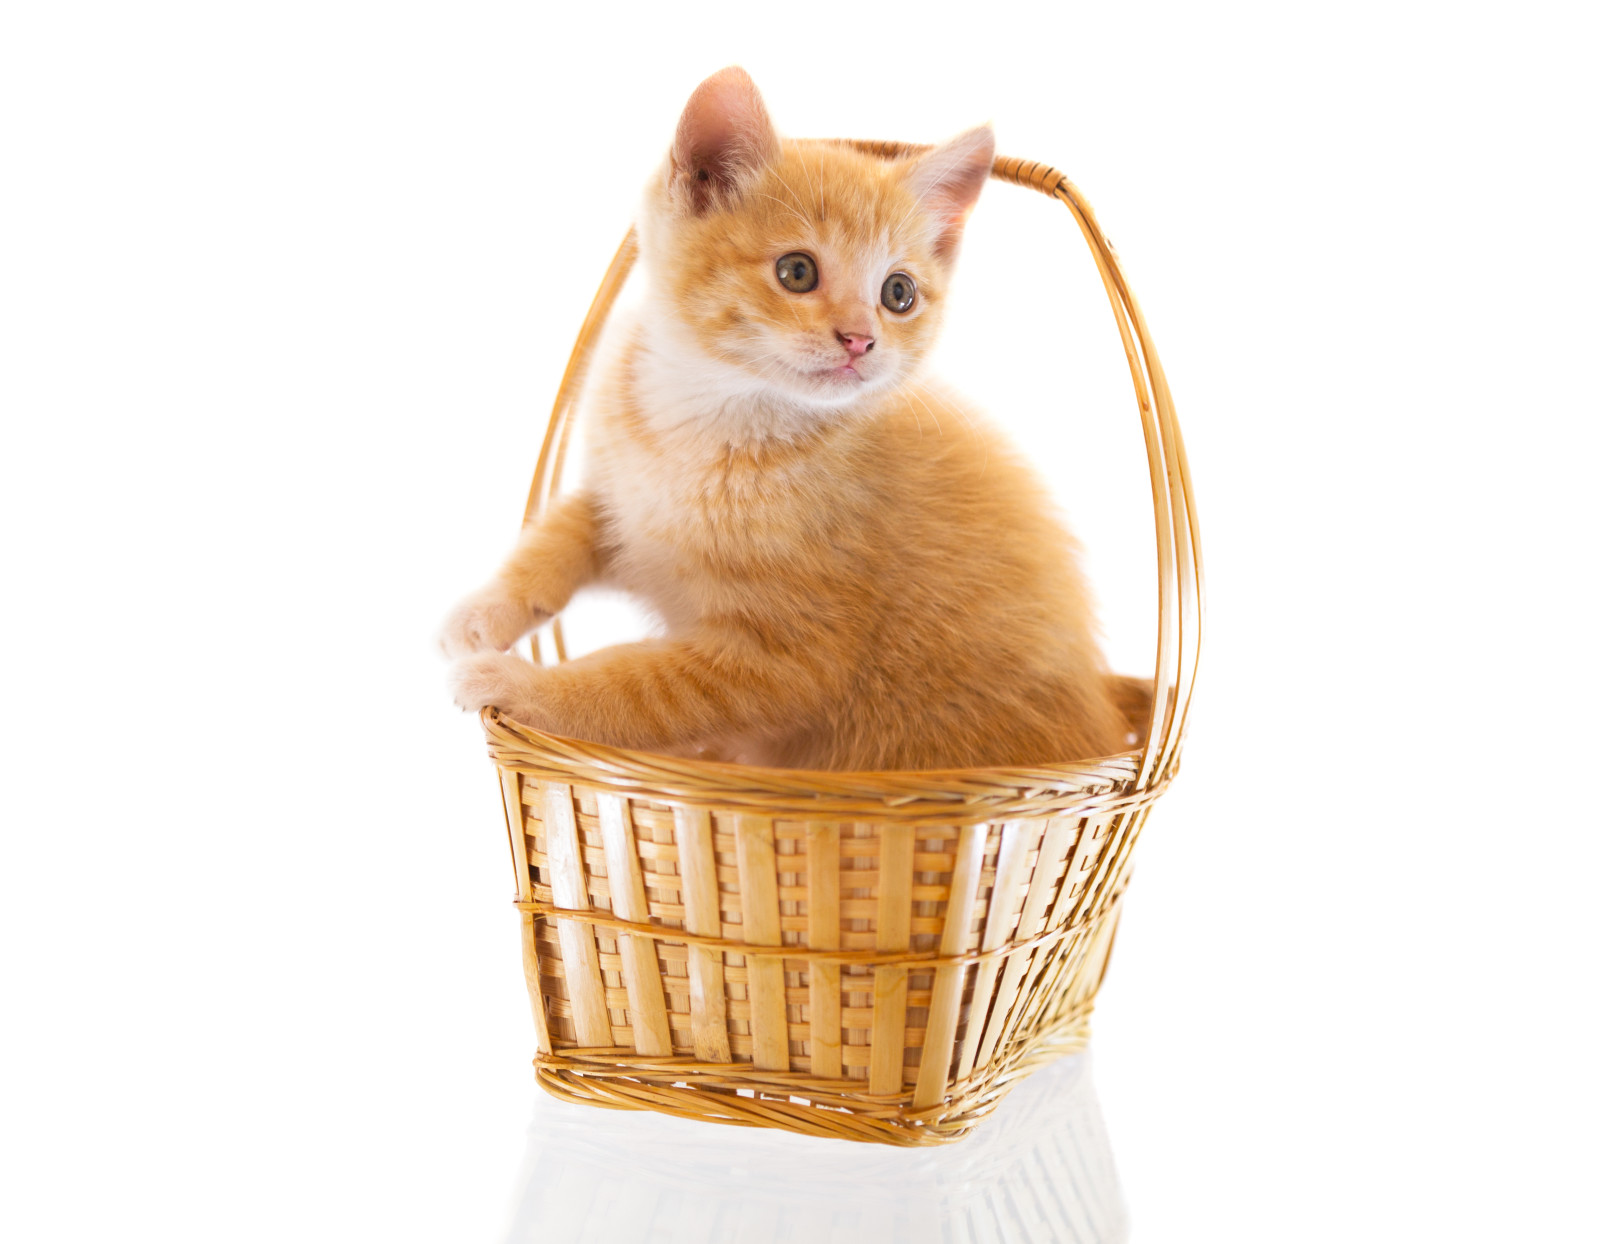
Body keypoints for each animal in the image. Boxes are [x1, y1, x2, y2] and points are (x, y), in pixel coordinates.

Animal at [444, 67, 1132, 770]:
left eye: (899, 293)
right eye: (796, 271)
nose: (860, 340)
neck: (708, 417)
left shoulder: (785, 663)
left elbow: (637, 685)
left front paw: (519, 685)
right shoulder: (622, 492)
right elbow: (565, 531)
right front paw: (485, 611)